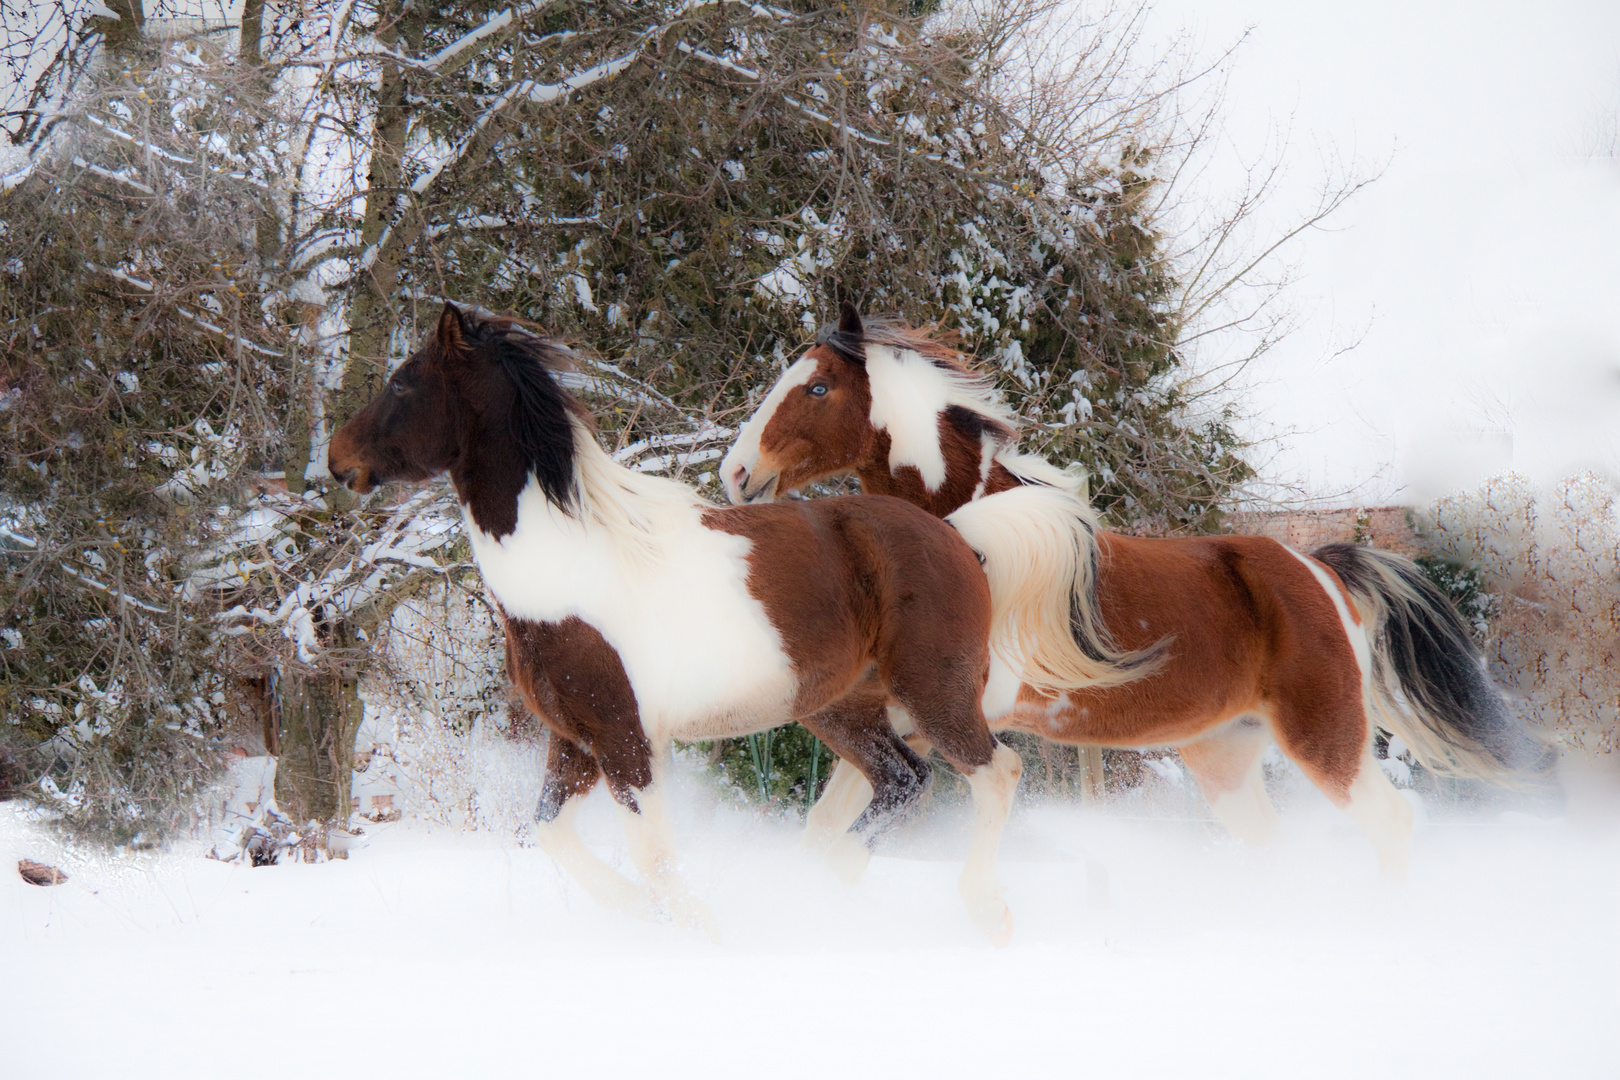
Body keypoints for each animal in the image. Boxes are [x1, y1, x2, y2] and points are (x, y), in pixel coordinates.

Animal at [725, 304, 1555, 880]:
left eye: (818, 387)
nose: (737, 472)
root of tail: (1321, 570)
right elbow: (826, 825)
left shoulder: (954, 709)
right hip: (1225, 754)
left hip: (1328, 736)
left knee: (1391, 825)